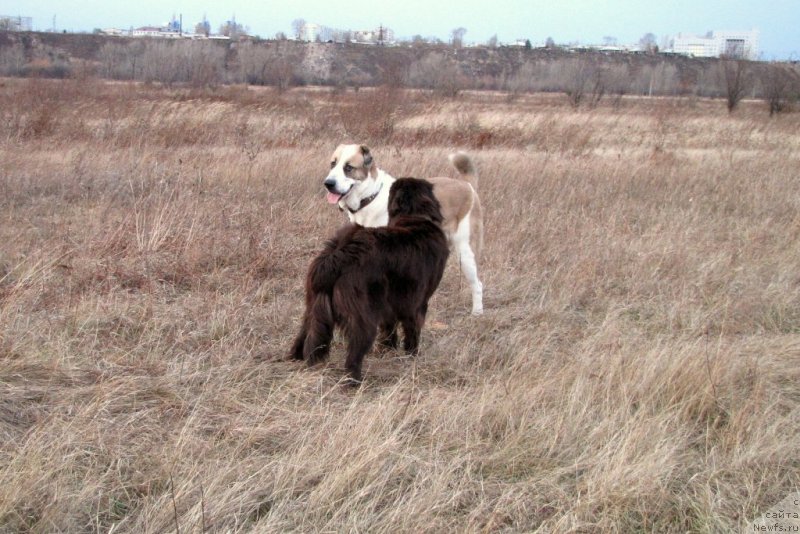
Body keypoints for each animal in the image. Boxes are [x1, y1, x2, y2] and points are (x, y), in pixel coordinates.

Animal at [290, 179, 450, 386]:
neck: (415, 217)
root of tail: (339, 254)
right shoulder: (417, 304)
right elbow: (412, 332)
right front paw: (412, 355)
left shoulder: (390, 304)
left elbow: (389, 328)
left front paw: (389, 349)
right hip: (363, 319)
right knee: (353, 356)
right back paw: (354, 382)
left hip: (314, 306)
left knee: (304, 334)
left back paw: (295, 357)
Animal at [322, 144, 484, 316]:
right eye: (333, 164)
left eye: (348, 168)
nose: (328, 183)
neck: (371, 196)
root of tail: (467, 185)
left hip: (466, 253)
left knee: (477, 284)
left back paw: (477, 312)